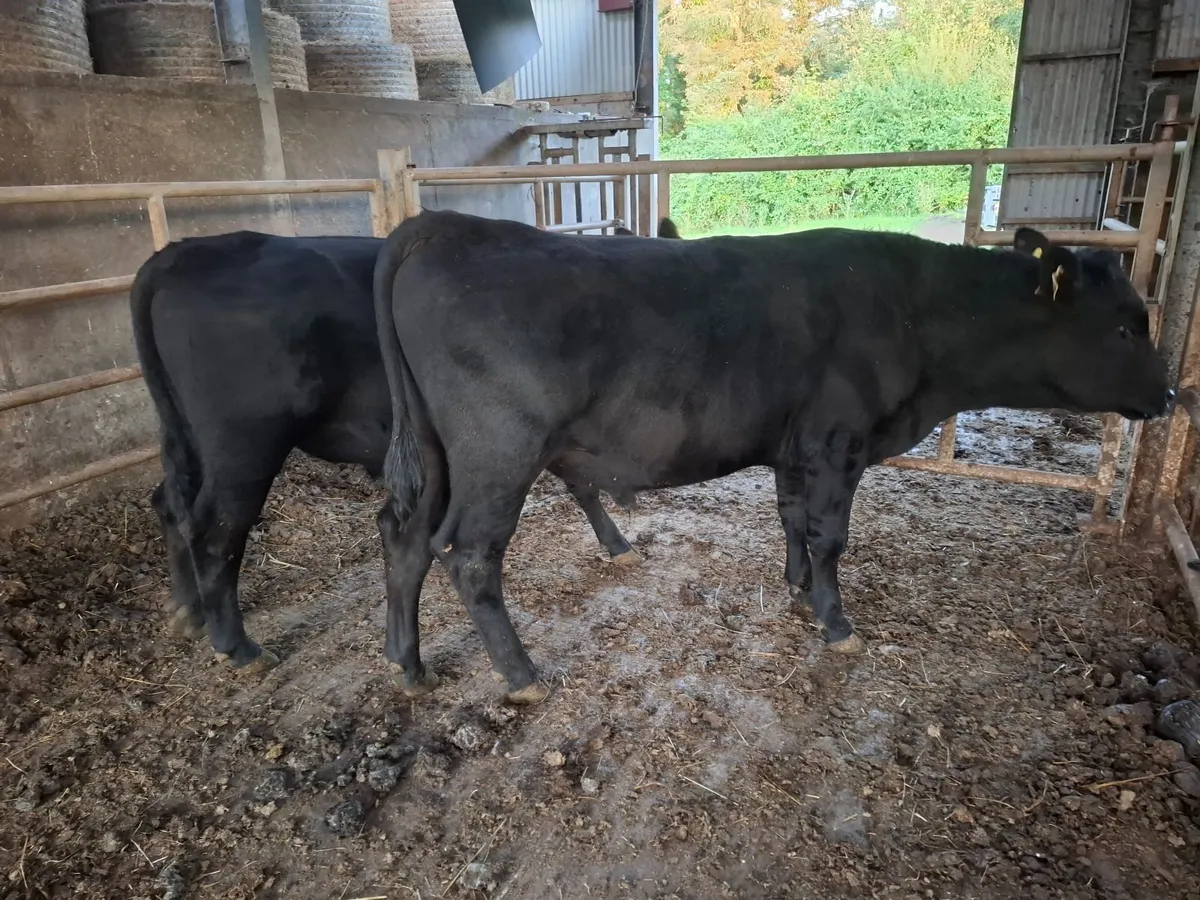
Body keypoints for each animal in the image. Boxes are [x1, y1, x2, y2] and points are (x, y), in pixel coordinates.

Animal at [131, 221, 678, 673]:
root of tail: (182, 253)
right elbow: (580, 483)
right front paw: (618, 542)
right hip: (243, 444)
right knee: (215, 530)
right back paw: (238, 647)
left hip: (183, 433)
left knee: (170, 504)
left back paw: (188, 610)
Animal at [373, 210, 1173, 704]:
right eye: (1126, 327)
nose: (1170, 396)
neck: (916, 316)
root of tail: (444, 225)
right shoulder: (838, 442)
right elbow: (831, 535)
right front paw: (836, 622)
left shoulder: (796, 448)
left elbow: (792, 520)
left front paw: (797, 588)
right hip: (500, 453)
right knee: (470, 556)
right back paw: (521, 673)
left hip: (438, 455)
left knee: (403, 538)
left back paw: (406, 663)